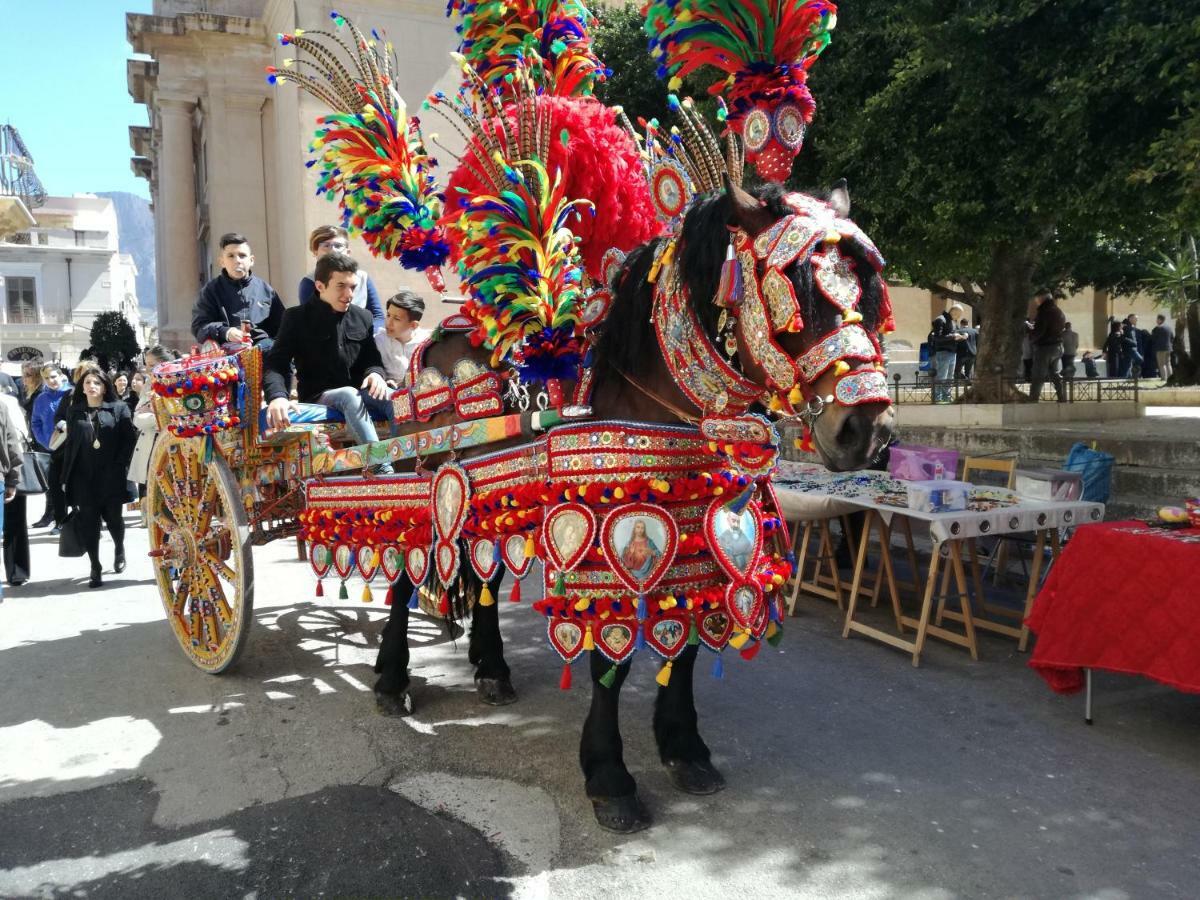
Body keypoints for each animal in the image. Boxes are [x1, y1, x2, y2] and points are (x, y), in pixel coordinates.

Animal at [272, 1, 892, 830]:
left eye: (869, 286)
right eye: (792, 286)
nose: (868, 430)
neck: (660, 394)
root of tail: (436, 343)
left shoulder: (699, 521)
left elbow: (685, 642)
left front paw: (685, 747)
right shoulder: (604, 520)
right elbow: (609, 659)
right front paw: (610, 778)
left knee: (481, 576)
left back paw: (491, 665)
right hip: (420, 482)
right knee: (409, 573)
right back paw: (394, 678)